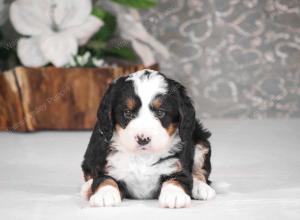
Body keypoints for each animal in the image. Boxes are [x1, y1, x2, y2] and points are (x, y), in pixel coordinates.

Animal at [80, 69, 216, 208]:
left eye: (160, 112)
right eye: (127, 113)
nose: (143, 139)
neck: (143, 157)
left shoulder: (178, 165)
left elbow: (178, 179)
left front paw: (174, 195)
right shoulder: (107, 165)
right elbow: (105, 179)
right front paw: (104, 194)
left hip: (201, 141)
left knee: (200, 172)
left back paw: (201, 187)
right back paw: (87, 188)